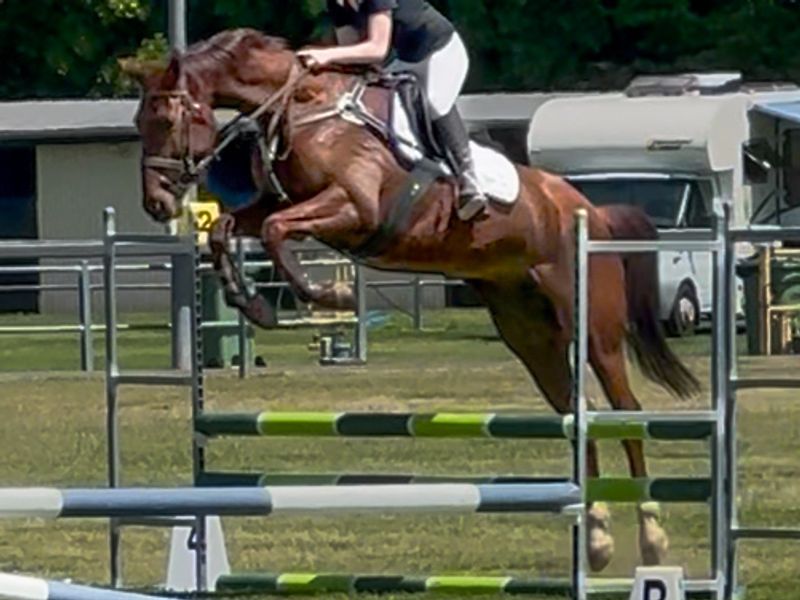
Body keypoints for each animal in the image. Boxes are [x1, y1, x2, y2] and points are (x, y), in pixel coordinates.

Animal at [121, 27, 700, 572]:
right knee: (580, 414)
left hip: (594, 328)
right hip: (531, 337)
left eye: (168, 120)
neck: (304, 107)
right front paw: (253, 304)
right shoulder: (277, 203)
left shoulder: (352, 207)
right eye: (137, 123)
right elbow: (230, 229)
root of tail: (590, 210)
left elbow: (275, 231)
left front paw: (331, 293)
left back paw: (652, 538)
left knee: (625, 412)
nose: (157, 204)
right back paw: (598, 538)